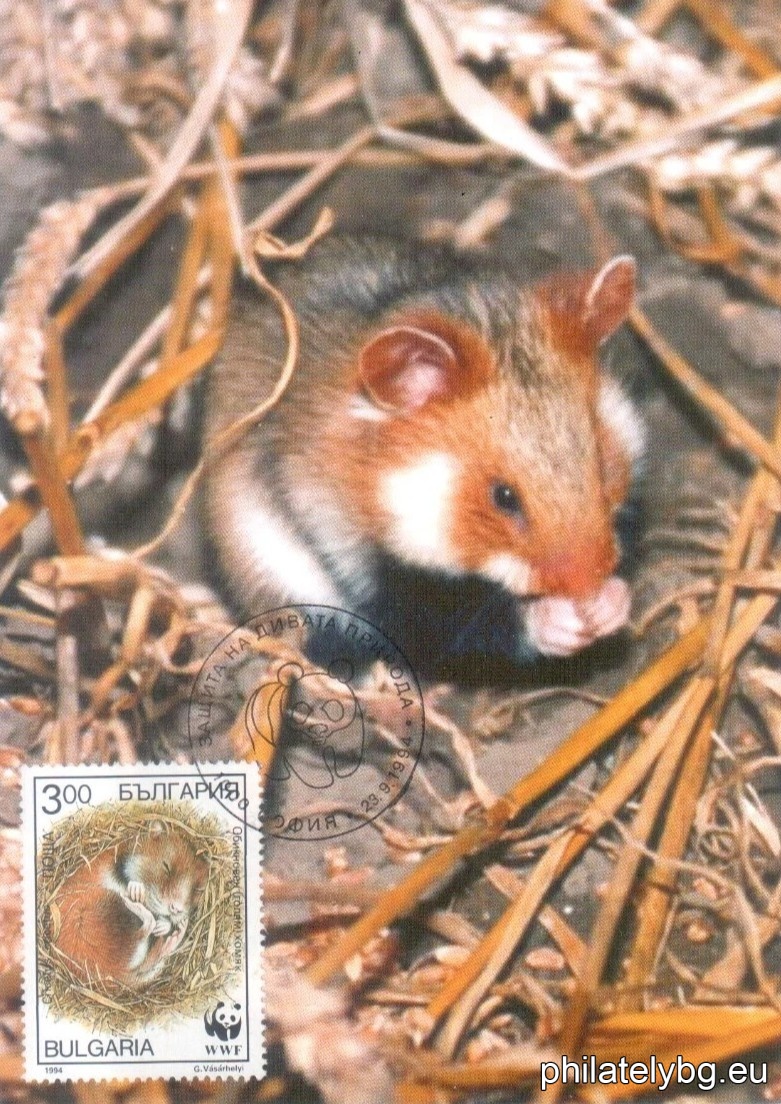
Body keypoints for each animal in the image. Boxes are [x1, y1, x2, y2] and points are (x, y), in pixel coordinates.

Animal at [53, 819, 207, 989]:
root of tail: (116, 976)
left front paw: (165, 925)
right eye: (166, 867)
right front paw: (136, 890)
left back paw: (176, 931)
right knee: (143, 931)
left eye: (197, 889)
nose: (176, 908)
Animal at [203, 235, 645, 673]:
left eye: (603, 464)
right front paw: (566, 620)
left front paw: (609, 605)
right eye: (503, 497)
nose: (587, 589)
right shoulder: (380, 574)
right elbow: (470, 621)